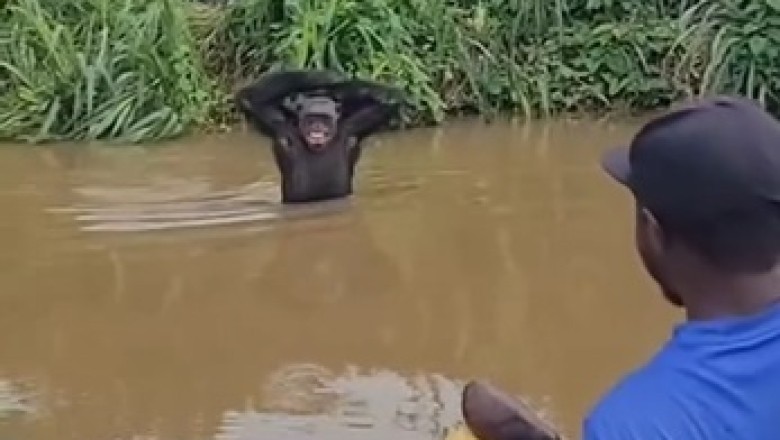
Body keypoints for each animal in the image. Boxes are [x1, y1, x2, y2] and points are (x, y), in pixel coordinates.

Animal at [235, 69, 404, 204]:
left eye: (324, 118)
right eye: (311, 117)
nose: (317, 126)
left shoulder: (357, 124)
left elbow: (391, 98)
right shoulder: (277, 124)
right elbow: (249, 98)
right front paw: (327, 77)